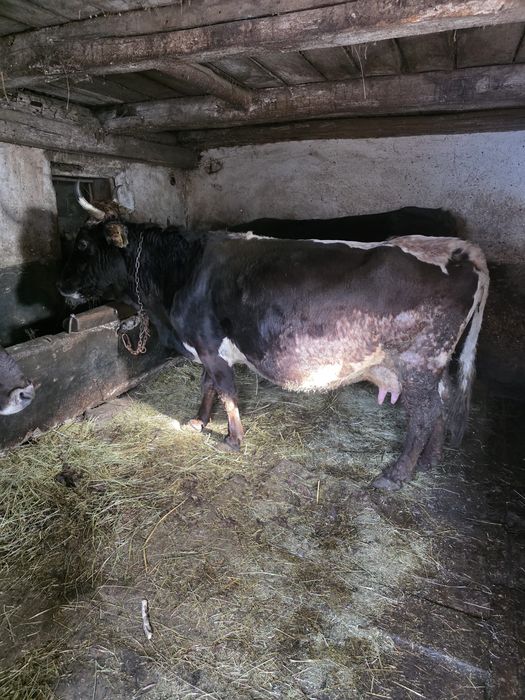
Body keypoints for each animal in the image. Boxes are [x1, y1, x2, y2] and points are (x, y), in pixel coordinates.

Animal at [59, 193, 489, 490]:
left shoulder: (208, 343)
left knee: (423, 415)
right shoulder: (206, 347)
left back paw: (396, 475)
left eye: (83, 246)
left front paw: (232, 440)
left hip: (420, 360)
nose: (60, 287)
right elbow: (208, 386)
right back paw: (429, 462)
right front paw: (198, 421)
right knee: (439, 406)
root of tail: (459, 249)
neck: (181, 273)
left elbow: (226, 390)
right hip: (434, 365)